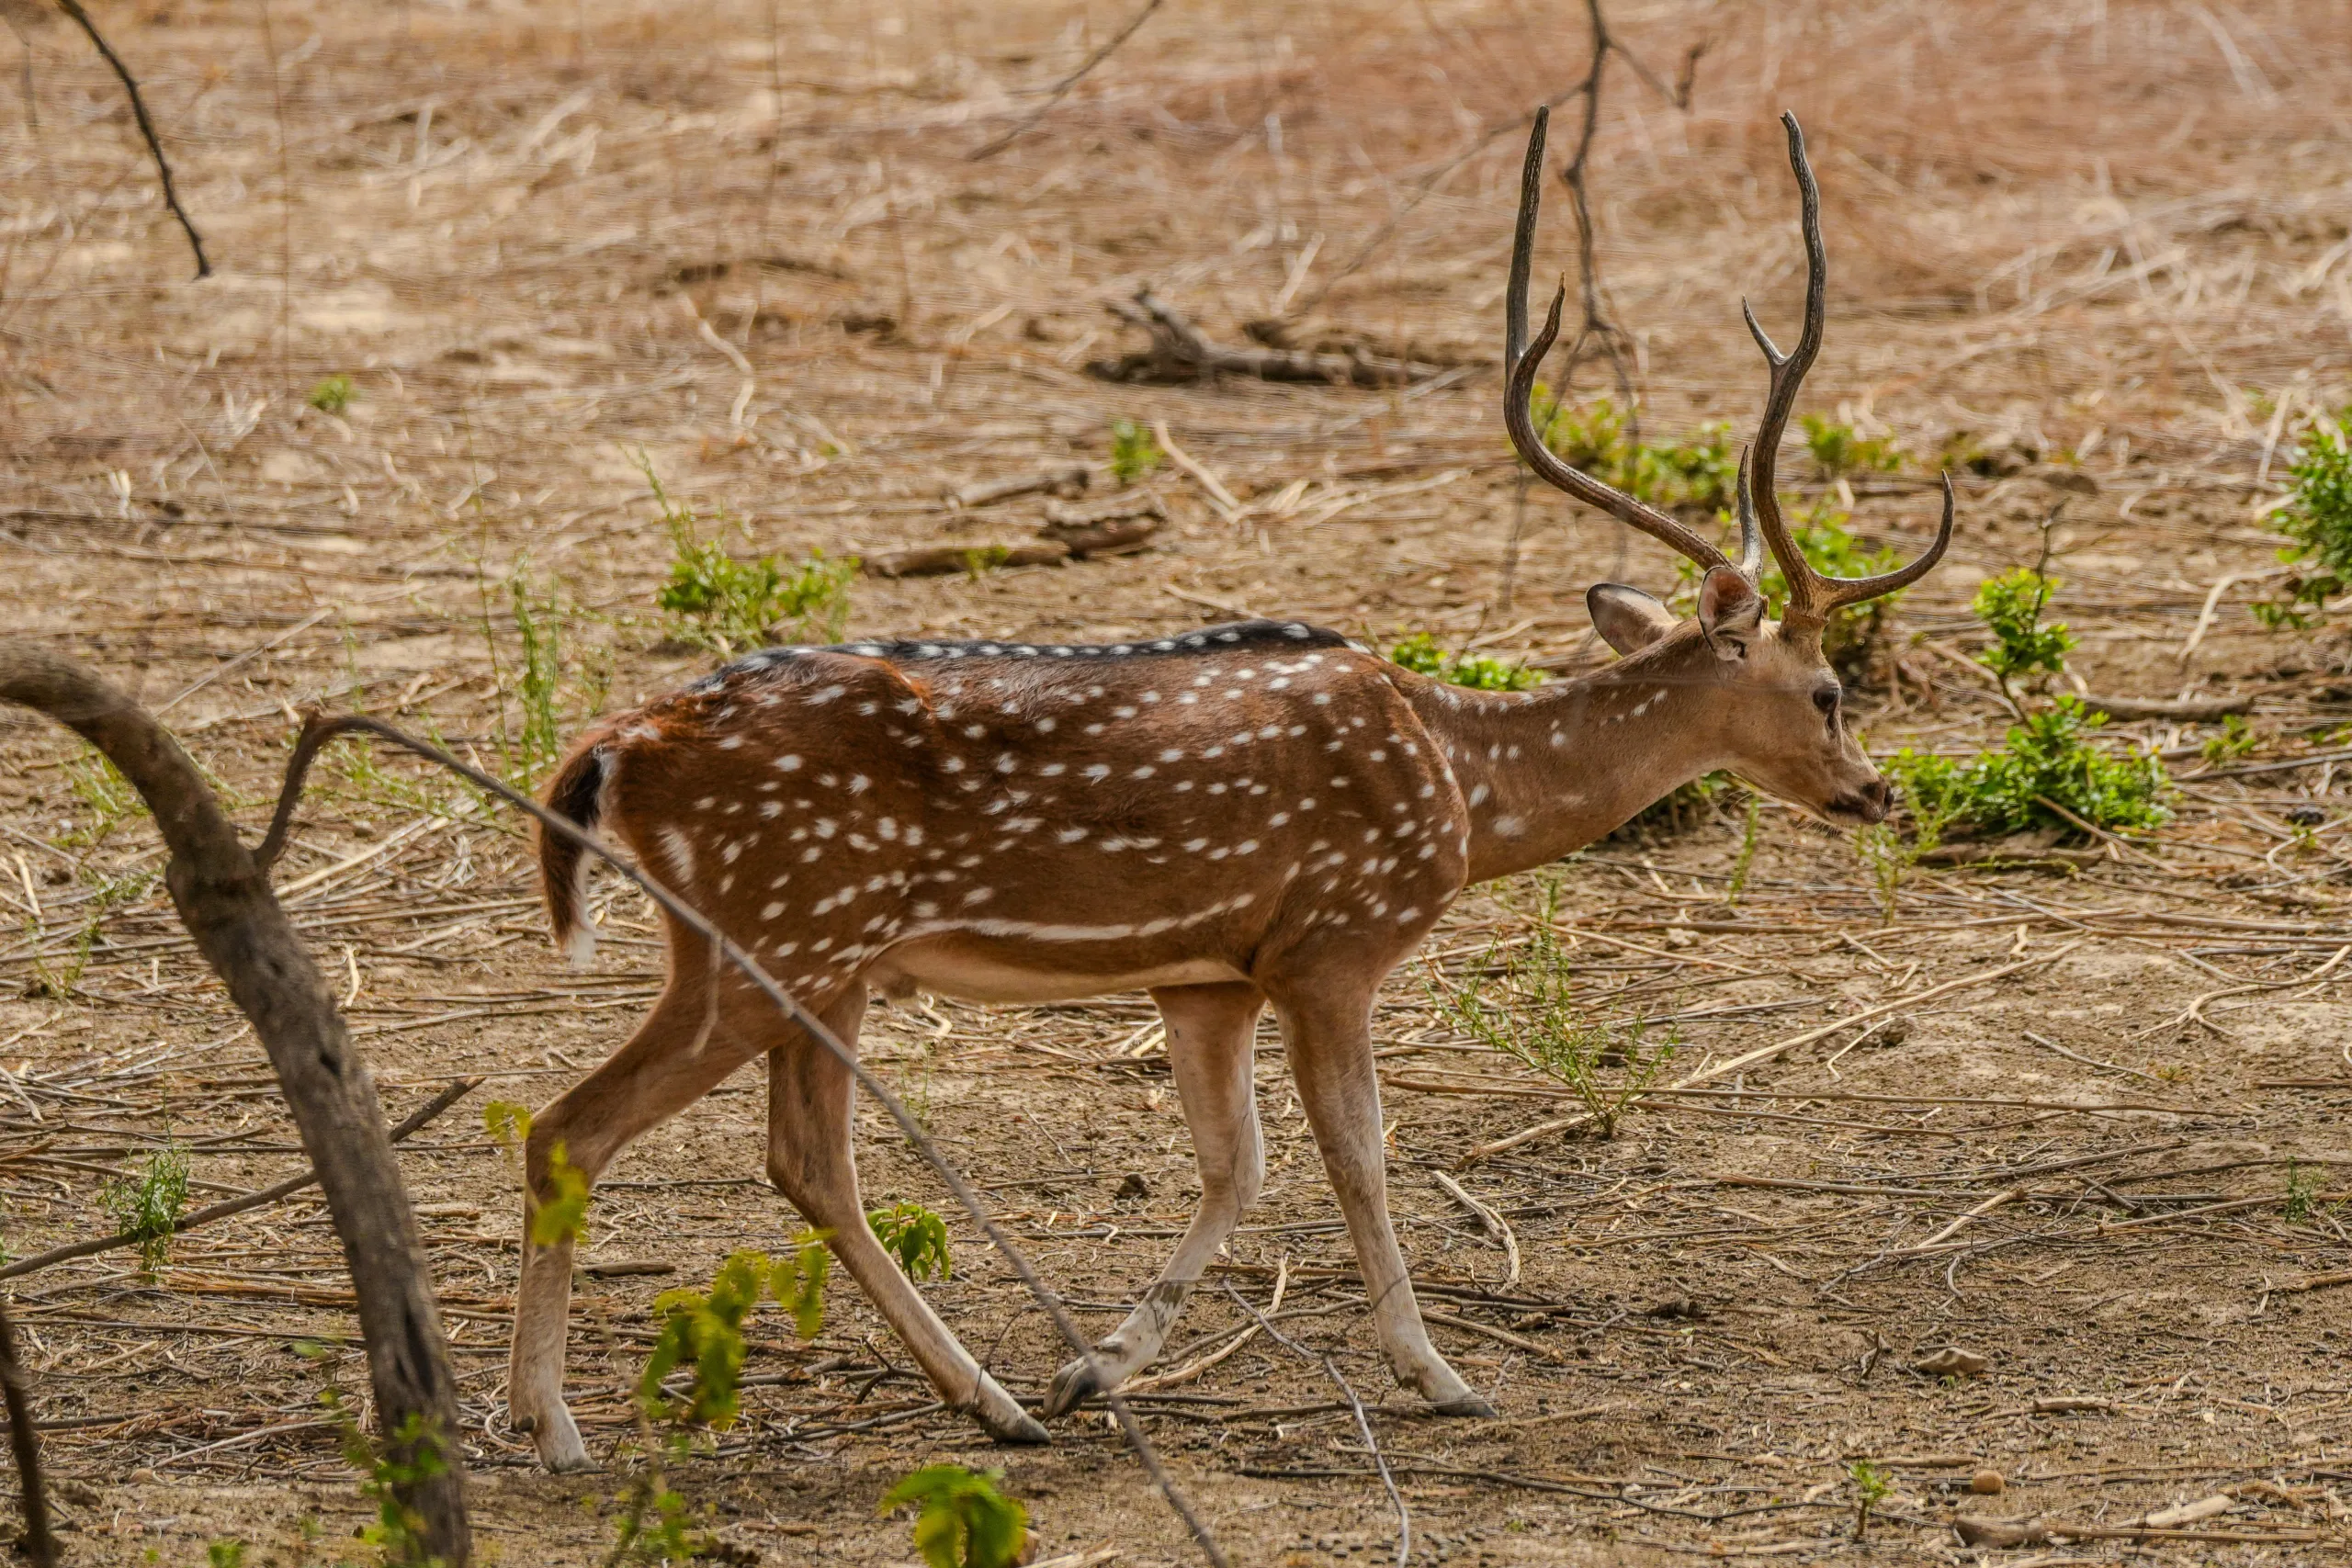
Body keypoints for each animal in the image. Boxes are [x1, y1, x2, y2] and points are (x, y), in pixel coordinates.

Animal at [506, 107, 1953, 1472]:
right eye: (1829, 691)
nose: (1875, 793)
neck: (1463, 786)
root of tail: (617, 744)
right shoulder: (1334, 942)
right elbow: (1357, 1156)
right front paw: (1437, 1375)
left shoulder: (1206, 975)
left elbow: (1233, 1164)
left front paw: (1094, 1368)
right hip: (773, 929)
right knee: (575, 1126)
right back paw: (554, 1423)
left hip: (822, 959)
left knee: (802, 1160)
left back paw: (992, 1404)